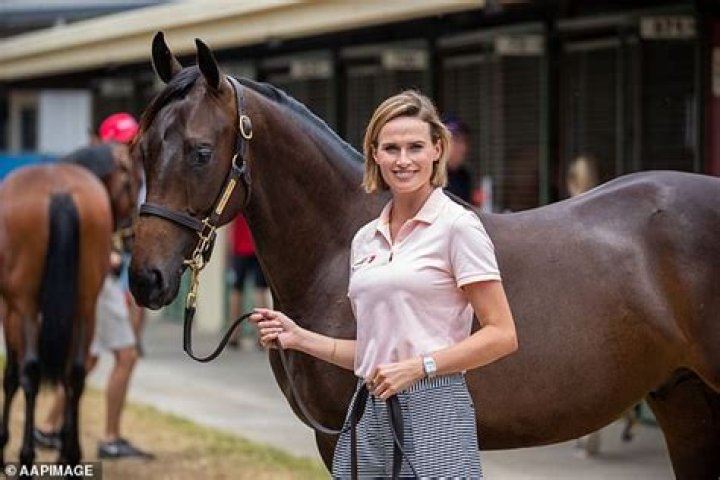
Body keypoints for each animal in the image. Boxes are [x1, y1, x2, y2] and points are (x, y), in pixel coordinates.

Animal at [0, 164, 113, 467]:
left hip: (26, 306)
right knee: (75, 372)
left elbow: (11, 375)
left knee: (30, 372)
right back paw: (71, 456)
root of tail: (60, 190)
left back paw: (26, 457)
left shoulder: (10, 309)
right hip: (85, 307)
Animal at [129, 33, 720, 479]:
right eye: (143, 149)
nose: (144, 279)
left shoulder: (350, 437)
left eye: (201, 152)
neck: (337, 246)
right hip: (685, 399)